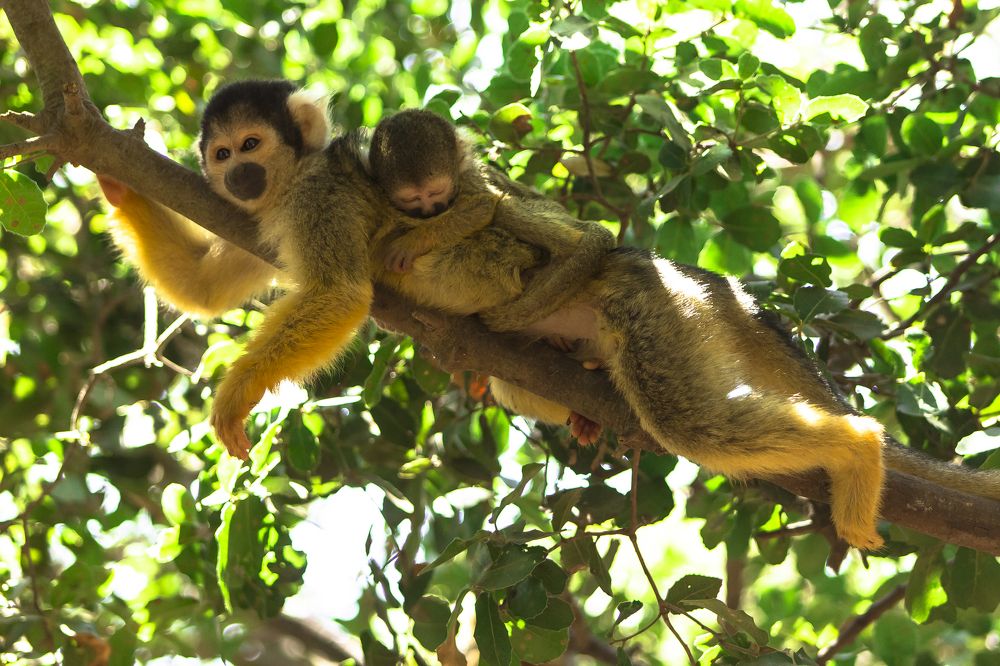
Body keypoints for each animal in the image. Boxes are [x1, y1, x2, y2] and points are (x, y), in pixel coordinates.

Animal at [100, 86, 1000, 551]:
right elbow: (208, 287)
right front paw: (112, 177)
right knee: (522, 379)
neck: (289, 187)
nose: (237, 175)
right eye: (220, 156)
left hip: (646, 307)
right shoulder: (262, 221)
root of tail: (680, 275)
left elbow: (342, 296)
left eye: (252, 145)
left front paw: (236, 393)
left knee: (687, 419)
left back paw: (857, 451)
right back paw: (574, 396)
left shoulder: (316, 198)